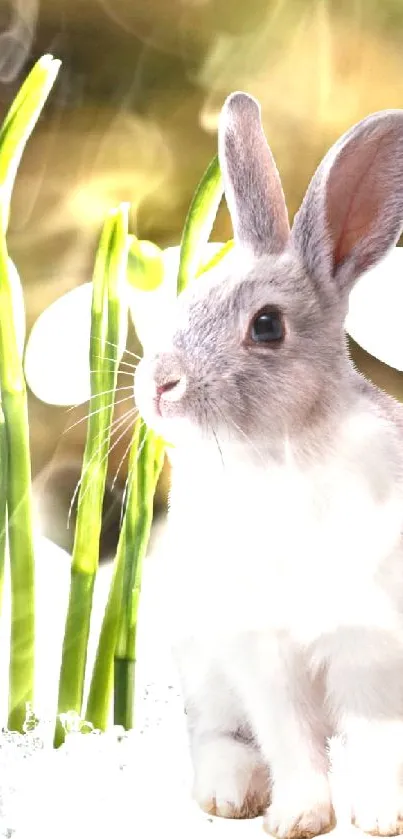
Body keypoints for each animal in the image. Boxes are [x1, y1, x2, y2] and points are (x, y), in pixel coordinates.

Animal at [135, 93, 403, 839]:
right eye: (185, 302)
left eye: (266, 326)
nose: (158, 384)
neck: (275, 456)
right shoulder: (262, 654)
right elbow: (290, 739)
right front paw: (298, 818)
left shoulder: (367, 643)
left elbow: (377, 737)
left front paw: (381, 815)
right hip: (201, 664)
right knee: (216, 733)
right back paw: (229, 794)